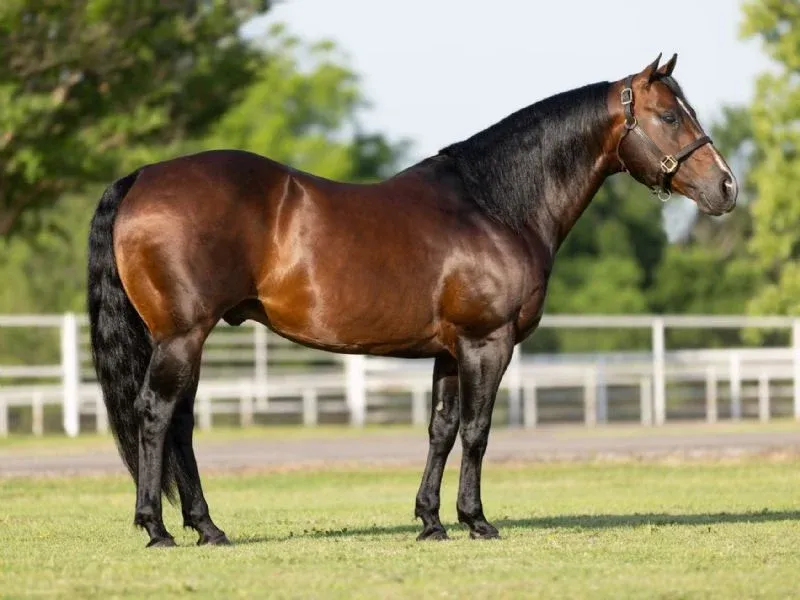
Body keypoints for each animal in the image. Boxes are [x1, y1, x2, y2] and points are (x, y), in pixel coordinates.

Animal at [87, 53, 737, 548]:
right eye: (669, 115)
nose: (726, 187)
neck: (493, 204)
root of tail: (143, 176)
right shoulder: (486, 343)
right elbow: (477, 430)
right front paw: (477, 521)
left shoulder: (449, 350)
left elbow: (441, 430)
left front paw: (430, 521)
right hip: (182, 336)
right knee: (157, 415)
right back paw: (158, 529)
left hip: (185, 338)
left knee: (181, 424)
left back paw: (207, 528)